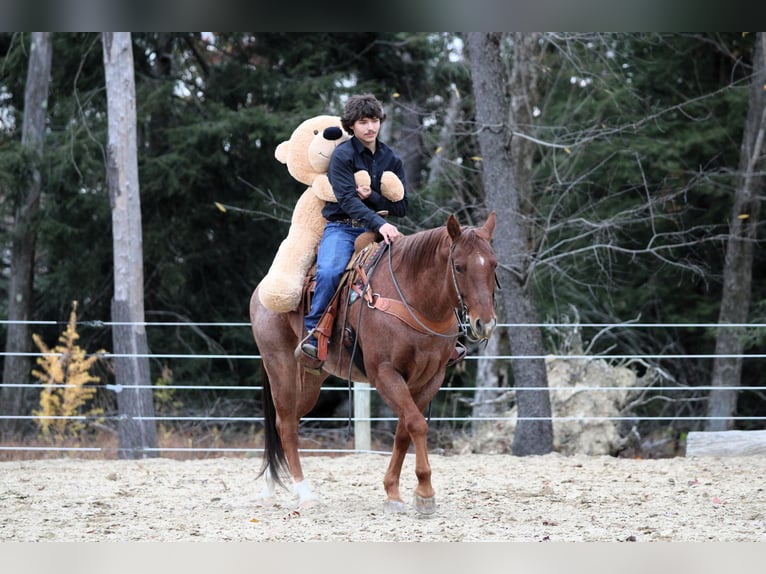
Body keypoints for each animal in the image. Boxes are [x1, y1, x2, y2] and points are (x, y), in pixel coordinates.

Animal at [249, 212, 497, 514]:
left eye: (494, 264)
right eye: (459, 267)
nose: (484, 323)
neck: (414, 299)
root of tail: (261, 290)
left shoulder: (431, 378)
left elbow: (404, 430)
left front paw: (393, 492)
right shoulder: (385, 373)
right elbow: (417, 424)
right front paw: (425, 492)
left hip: (310, 379)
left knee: (287, 422)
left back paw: (271, 487)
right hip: (280, 365)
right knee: (285, 424)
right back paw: (304, 492)